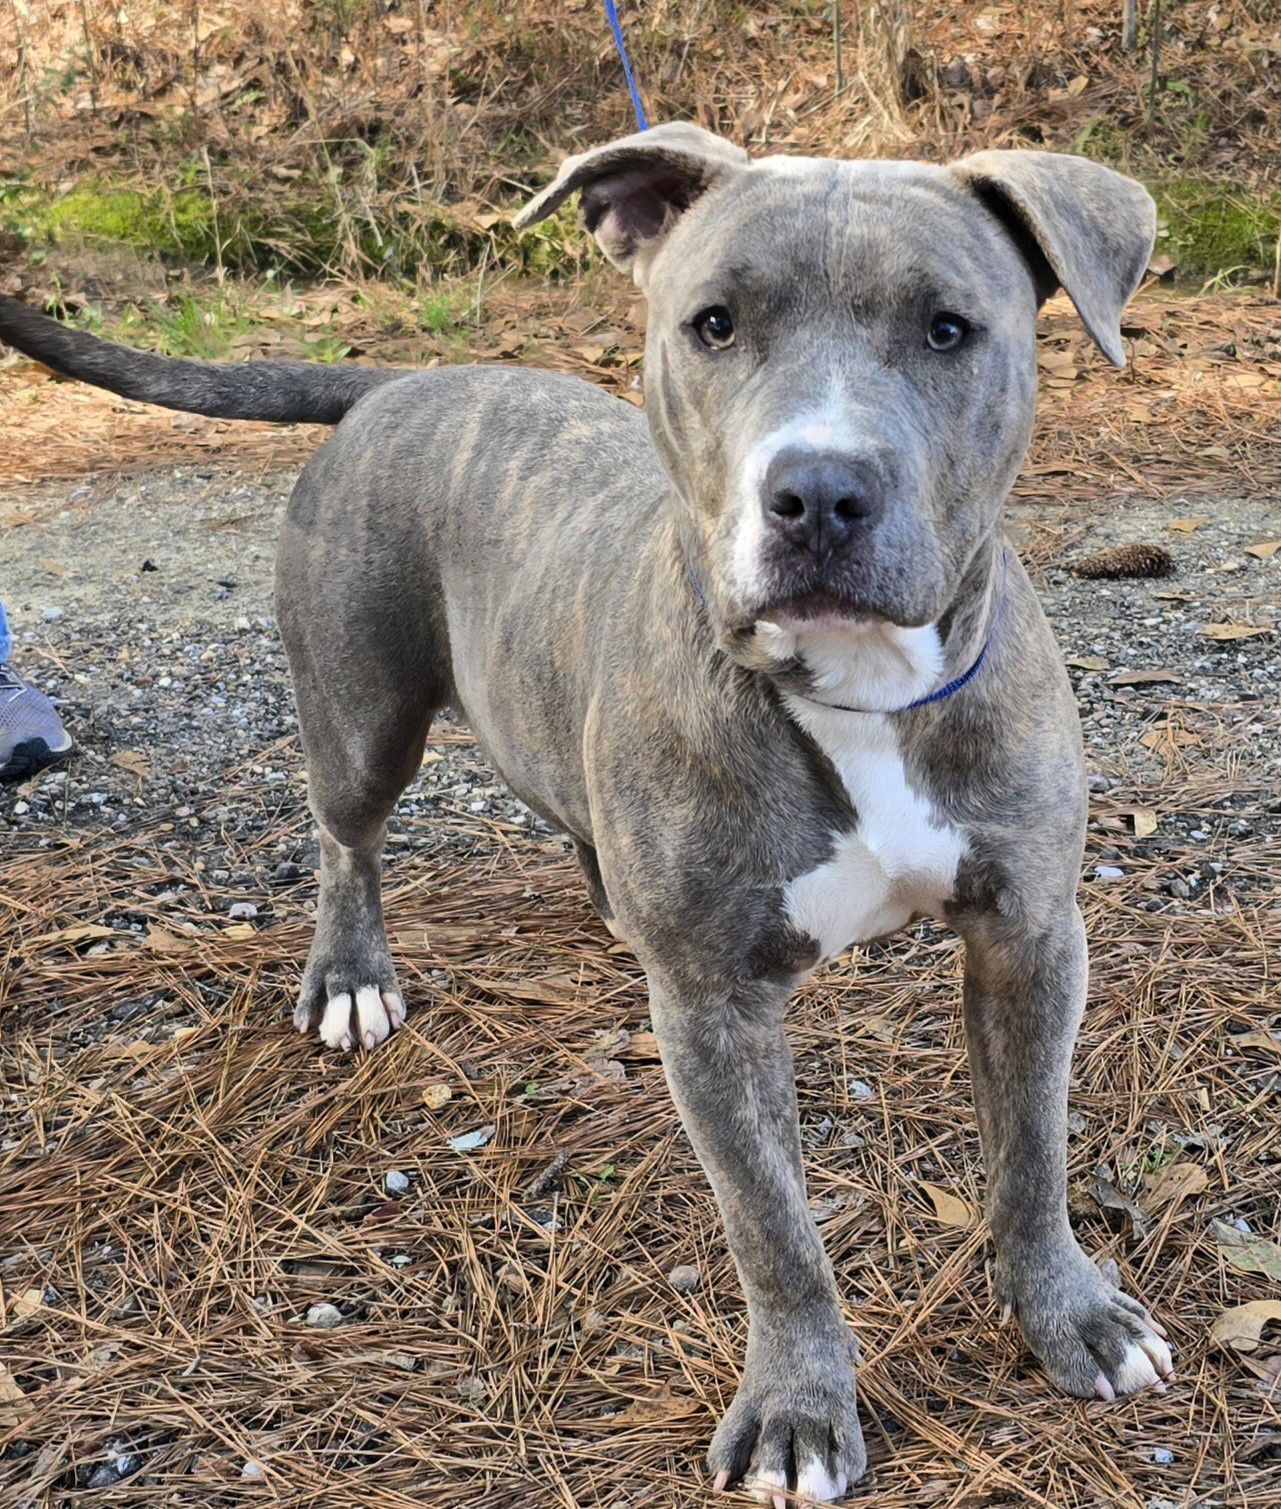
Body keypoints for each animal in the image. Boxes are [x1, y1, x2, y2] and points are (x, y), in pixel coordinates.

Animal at [2, 123, 1176, 1502]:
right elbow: (774, 1229)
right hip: (362, 720)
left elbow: (1033, 1153)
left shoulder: (1028, 937)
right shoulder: (715, 1013)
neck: (855, 690)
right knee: (345, 838)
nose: (818, 493)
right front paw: (798, 1406)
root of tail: (405, 381)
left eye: (950, 329)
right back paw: (350, 977)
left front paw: (1071, 1316)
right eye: (713, 323)